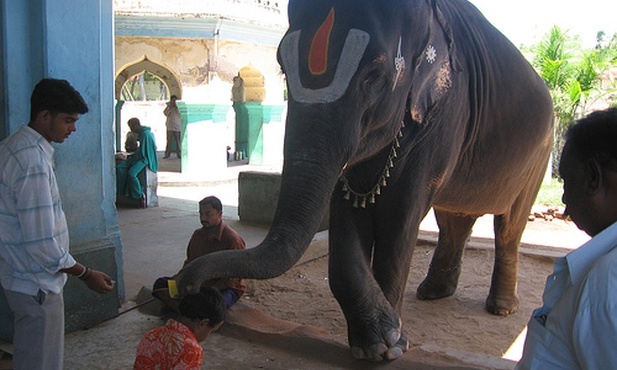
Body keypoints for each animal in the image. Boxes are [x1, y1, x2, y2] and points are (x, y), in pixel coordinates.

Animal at [176, 0, 552, 362]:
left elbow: (400, 215)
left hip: (540, 154)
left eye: (374, 75)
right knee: (453, 220)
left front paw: (392, 345)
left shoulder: (445, 114)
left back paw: (501, 307)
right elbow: (346, 211)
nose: (188, 285)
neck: (429, 14)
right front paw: (374, 343)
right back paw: (432, 292)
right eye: (282, 66)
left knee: (509, 226)